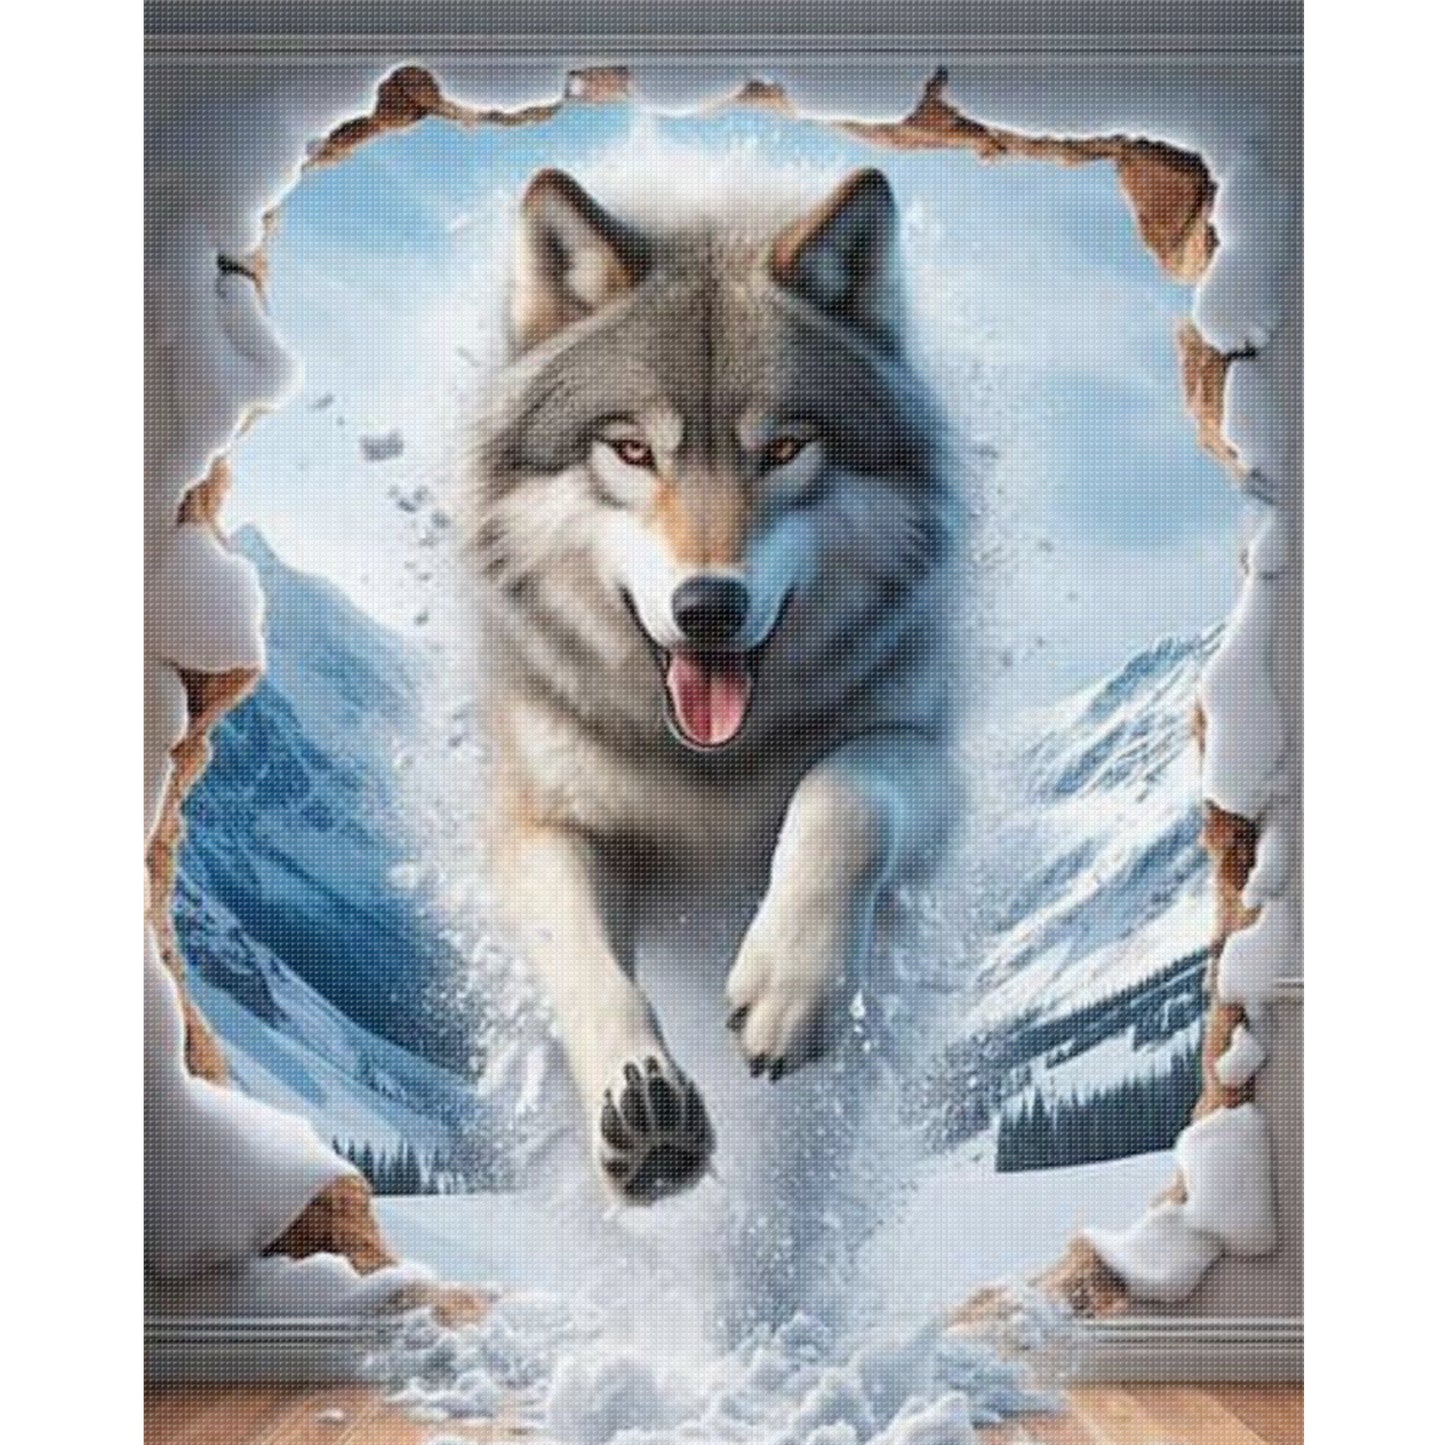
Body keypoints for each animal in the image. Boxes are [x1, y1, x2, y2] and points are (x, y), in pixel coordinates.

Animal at [467, 164, 958, 1205]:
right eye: (632, 451)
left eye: (782, 450)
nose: (707, 608)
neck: (707, 768)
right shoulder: (542, 816)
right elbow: (583, 960)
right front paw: (643, 1107)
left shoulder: (930, 754)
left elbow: (844, 794)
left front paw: (789, 985)